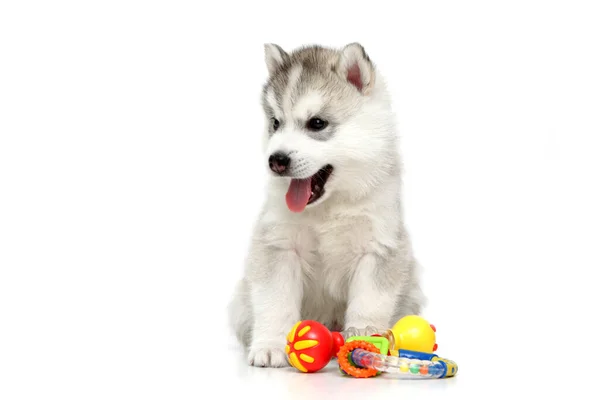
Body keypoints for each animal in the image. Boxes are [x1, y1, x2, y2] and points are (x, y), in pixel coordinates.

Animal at [227, 43, 424, 366]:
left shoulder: (378, 247)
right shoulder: (278, 246)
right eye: (275, 123)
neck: (328, 207)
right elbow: (274, 301)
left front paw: (364, 339)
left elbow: (369, 302)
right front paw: (270, 345)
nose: (276, 160)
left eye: (317, 123)